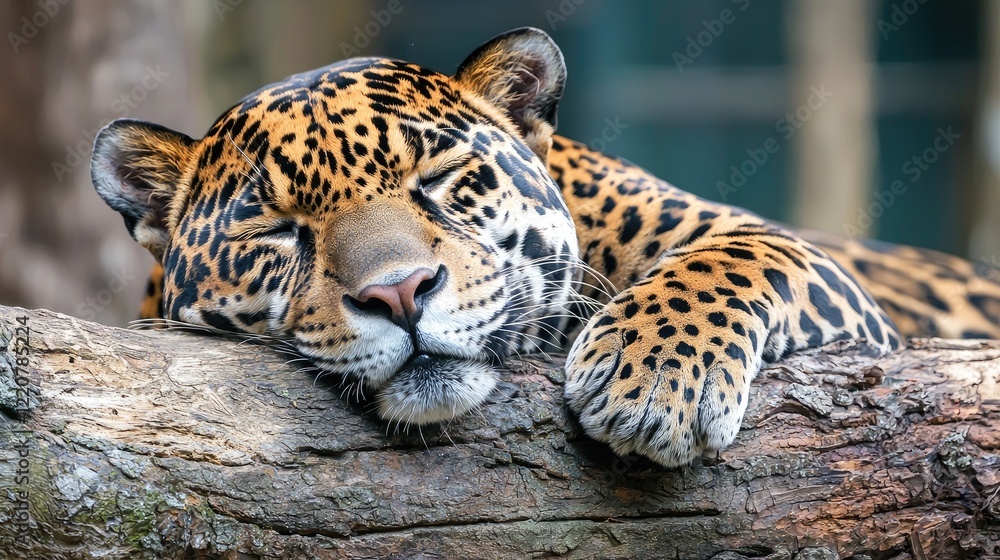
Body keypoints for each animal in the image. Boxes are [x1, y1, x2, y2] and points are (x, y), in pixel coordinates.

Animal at [90, 27, 1000, 468]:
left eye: (440, 176)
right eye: (276, 227)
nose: (399, 293)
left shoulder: (808, 270)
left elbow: (741, 258)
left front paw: (653, 383)